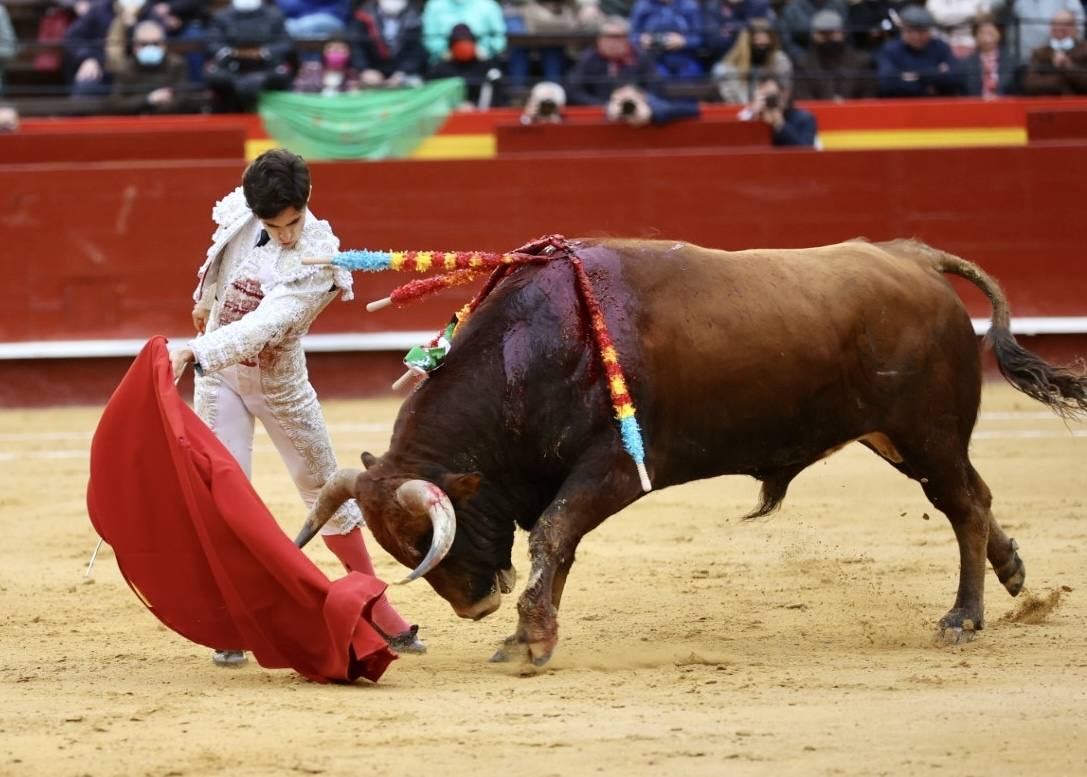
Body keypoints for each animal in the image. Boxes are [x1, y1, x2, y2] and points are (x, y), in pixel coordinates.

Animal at [295, 240, 1087, 665]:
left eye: (423, 538)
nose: (475, 607)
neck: (535, 348)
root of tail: (910, 255)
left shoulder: (615, 468)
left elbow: (552, 533)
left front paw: (530, 642)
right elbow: (559, 548)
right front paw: (525, 633)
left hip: (925, 433)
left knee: (960, 505)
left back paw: (962, 618)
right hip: (902, 438)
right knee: (974, 497)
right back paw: (1014, 575)